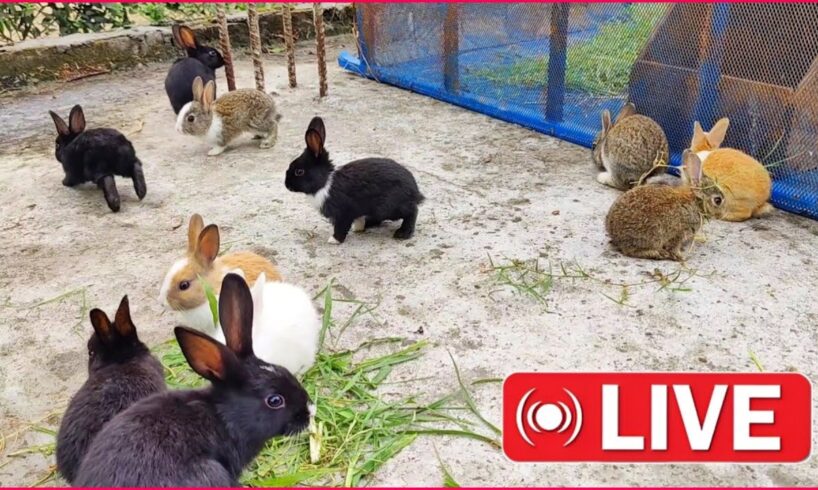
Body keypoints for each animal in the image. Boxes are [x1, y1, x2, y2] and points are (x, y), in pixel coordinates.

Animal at [285, 116, 425, 244]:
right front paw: (358, 227)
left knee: (412, 211)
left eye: (299, 172)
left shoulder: (344, 212)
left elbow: (341, 227)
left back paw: (403, 233)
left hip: (389, 207)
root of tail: (415, 192)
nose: (286, 185)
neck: (325, 183)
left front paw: (334, 240)